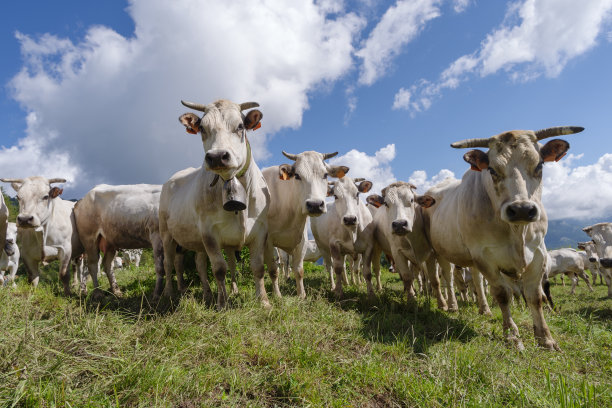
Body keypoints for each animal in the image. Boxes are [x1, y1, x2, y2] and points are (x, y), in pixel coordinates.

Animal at [159, 99, 268, 310]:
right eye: (202, 128)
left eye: (240, 126)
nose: (217, 156)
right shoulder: (209, 232)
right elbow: (219, 269)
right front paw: (222, 303)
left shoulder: (260, 229)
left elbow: (257, 267)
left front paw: (264, 302)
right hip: (166, 233)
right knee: (169, 263)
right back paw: (168, 293)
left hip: (196, 240)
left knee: (199, 264)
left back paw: (207, 294)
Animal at [360, 182, 452, 310]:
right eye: (386, 203)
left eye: (412, 200)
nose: (399, 224)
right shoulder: (397, 253)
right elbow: (407, 277)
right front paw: (411, 301)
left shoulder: (430, 254)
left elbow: (434, 280)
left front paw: (442, 304)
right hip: (377, 248)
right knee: (377, 270)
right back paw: (379, 289)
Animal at [420, 126, 584, 350]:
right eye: (492, 170)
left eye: (540, 165)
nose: (522, 209)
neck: (516, 233)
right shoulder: (485, 256)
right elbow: (502, 295)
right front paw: (512, 335)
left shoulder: (538, 254)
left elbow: (535, 297)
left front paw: (545, 338)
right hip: (439, 252)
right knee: (446, 278)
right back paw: (450, 305)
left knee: (477, 281)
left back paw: (484, 309)